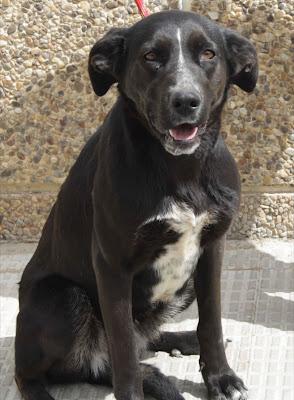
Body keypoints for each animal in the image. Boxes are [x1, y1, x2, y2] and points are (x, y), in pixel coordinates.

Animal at [14, 9, 258, 400]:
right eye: (150, 56)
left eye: (208, 54)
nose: (185, 101)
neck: (180, 169)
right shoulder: (112, 266)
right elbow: (124, 350)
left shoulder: (212, 250)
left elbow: (212, 322)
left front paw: (220, 376)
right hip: (63, 298)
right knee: (42, 371)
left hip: (184, 284)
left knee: (142, 341)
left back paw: (180, 341)